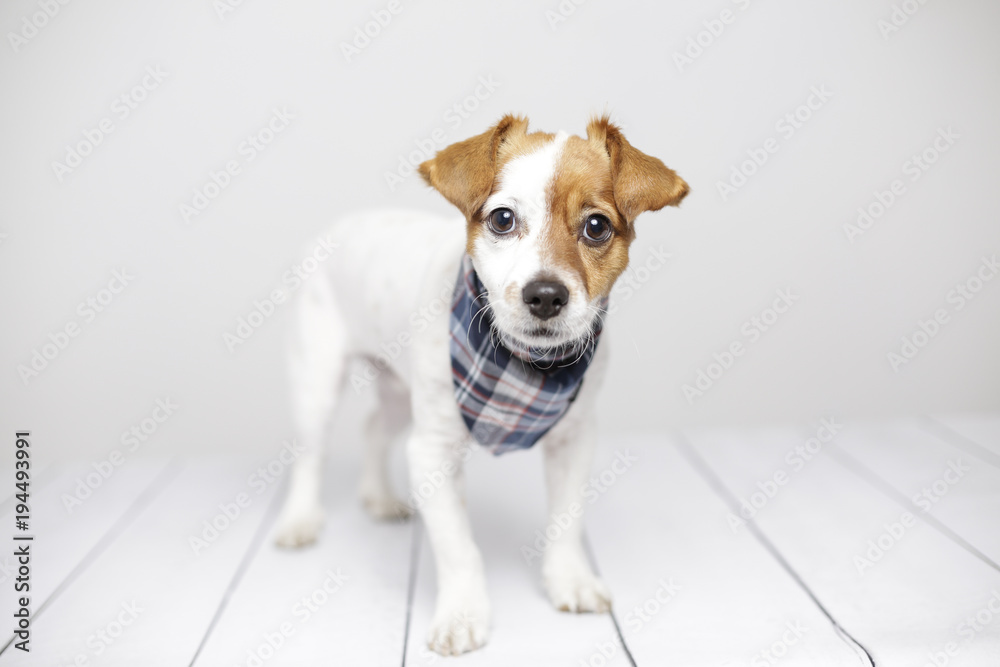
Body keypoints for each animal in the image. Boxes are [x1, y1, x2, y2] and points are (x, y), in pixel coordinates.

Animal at [276, 116, 688, 656]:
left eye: (597, 226)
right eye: (502, 219)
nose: (545, 295)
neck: (525, 367)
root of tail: (343, 224)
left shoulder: (574, 441)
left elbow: (566, 520)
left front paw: (570, 580)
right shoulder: (432, 452)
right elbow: (458, 548)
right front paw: (462, 615)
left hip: (401, 392)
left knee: (373, 428)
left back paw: (379, 497)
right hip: (317, 384)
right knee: (311, 455)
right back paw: (300, 520)